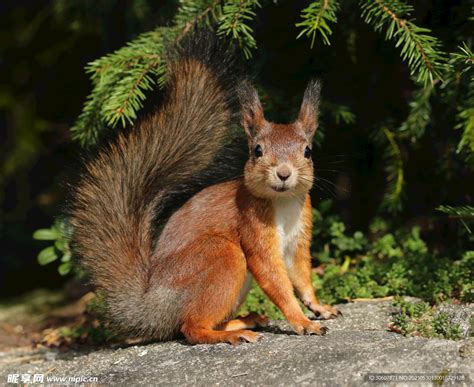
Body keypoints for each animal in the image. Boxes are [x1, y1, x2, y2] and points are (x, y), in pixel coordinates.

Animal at [72, 31, 338, 346]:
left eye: (308, 151)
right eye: (257, 151)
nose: (284, 173)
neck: (282, 203)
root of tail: (151, 306)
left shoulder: (299, 237)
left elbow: (301, 275)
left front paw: (319, 307)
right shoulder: (253, 228)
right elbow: (275, 278)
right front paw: (302, 321)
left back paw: (244, 320)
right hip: (221, 256)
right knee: (191, 327)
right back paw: (233, 334)